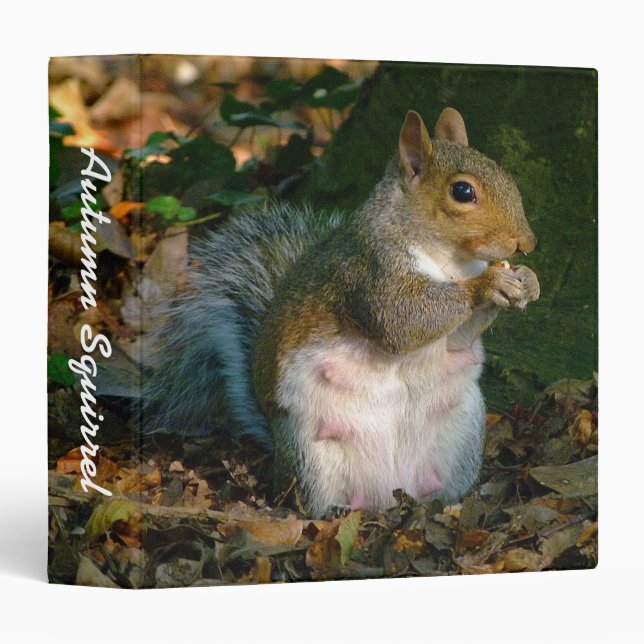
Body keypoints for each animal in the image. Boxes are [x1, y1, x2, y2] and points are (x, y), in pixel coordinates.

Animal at [144, 107, 540, 517]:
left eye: (504, 173)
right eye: (463, 191)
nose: (527, 243)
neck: (449, 261)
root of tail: (389, 491)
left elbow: (458, 339)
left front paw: (527, 281)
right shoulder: (370, 271)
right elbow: (401, 322)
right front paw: (488, 285)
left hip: (463, 430)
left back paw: (444, 502)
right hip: (311, 452)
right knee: (308, 499)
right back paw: (332, 511)